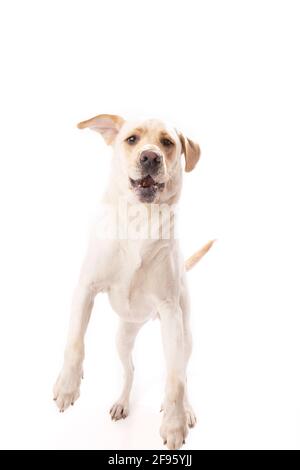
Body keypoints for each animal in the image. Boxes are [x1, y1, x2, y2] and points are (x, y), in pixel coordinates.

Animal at [54, 113, 213, 448]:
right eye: (131, 139)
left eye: (167, 142)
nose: (150, 157)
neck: (141, 219)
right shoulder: (85, 288)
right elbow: (75, 341)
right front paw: (67, 386)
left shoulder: (169, 311)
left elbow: (176, 382)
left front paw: (175, 424)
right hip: (124, 336)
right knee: (130, 372)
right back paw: (122, 403)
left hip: (184, 335)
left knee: (180, 373)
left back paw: (185, 410)